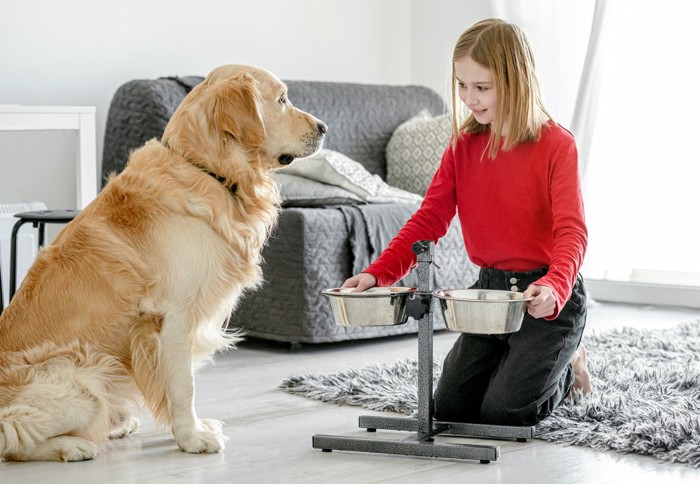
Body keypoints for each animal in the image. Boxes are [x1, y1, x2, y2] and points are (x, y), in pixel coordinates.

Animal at [0, 64, 326, 462]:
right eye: (281, 99)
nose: (324, 128)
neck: (207, 170)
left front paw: (194, 428)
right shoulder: (174, 317)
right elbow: (184, 386)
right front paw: (192, 438)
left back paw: (117, 424)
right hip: (83, 374)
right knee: (13, 436)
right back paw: (73, 445)